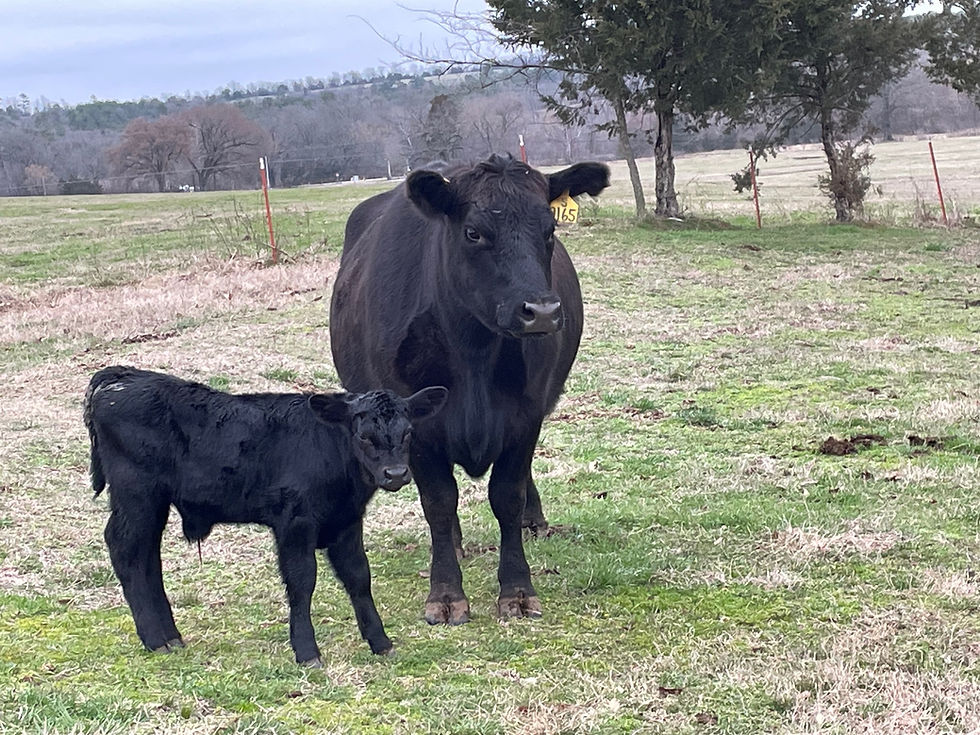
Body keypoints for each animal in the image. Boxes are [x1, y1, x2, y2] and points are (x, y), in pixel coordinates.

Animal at [84, 366, 447, 666]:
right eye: (364, 436)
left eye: (408, 433)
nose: (396, 473)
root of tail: (122, 376)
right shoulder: (295, 523)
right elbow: (302, 581)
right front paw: (307, 651)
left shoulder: (346, 521)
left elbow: (358, 577)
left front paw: (380, 642)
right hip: (136, 496)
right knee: (126, 550)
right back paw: (155, 638)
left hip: (152, 503)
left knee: (148, 557)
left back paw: (170, 636)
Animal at [329, 154, 610, 624]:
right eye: (474, 232)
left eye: (549, 228)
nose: (542, 312)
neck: (473, 348)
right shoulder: (417, 428)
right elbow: (440, 502)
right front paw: (445, 594)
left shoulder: (525, 415)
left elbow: (507, 496)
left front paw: (517, 590)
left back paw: (534, 523)